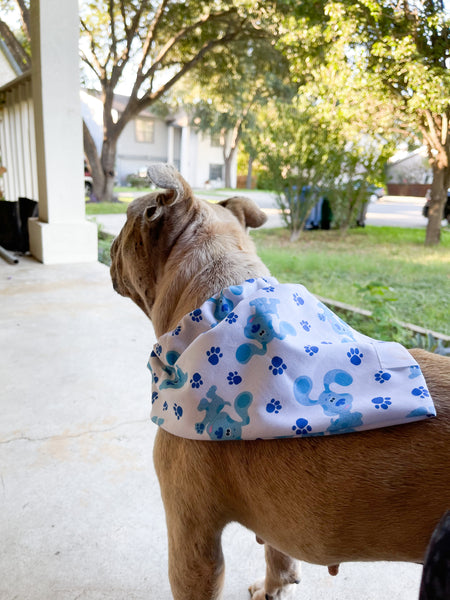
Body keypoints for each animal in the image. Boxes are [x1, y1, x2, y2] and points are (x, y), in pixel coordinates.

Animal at [110, 164, 450, 600]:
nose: (110, 247)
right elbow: (279, 556)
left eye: (124, 224)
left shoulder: (191, 538)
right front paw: (275, 586)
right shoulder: (278, 525)